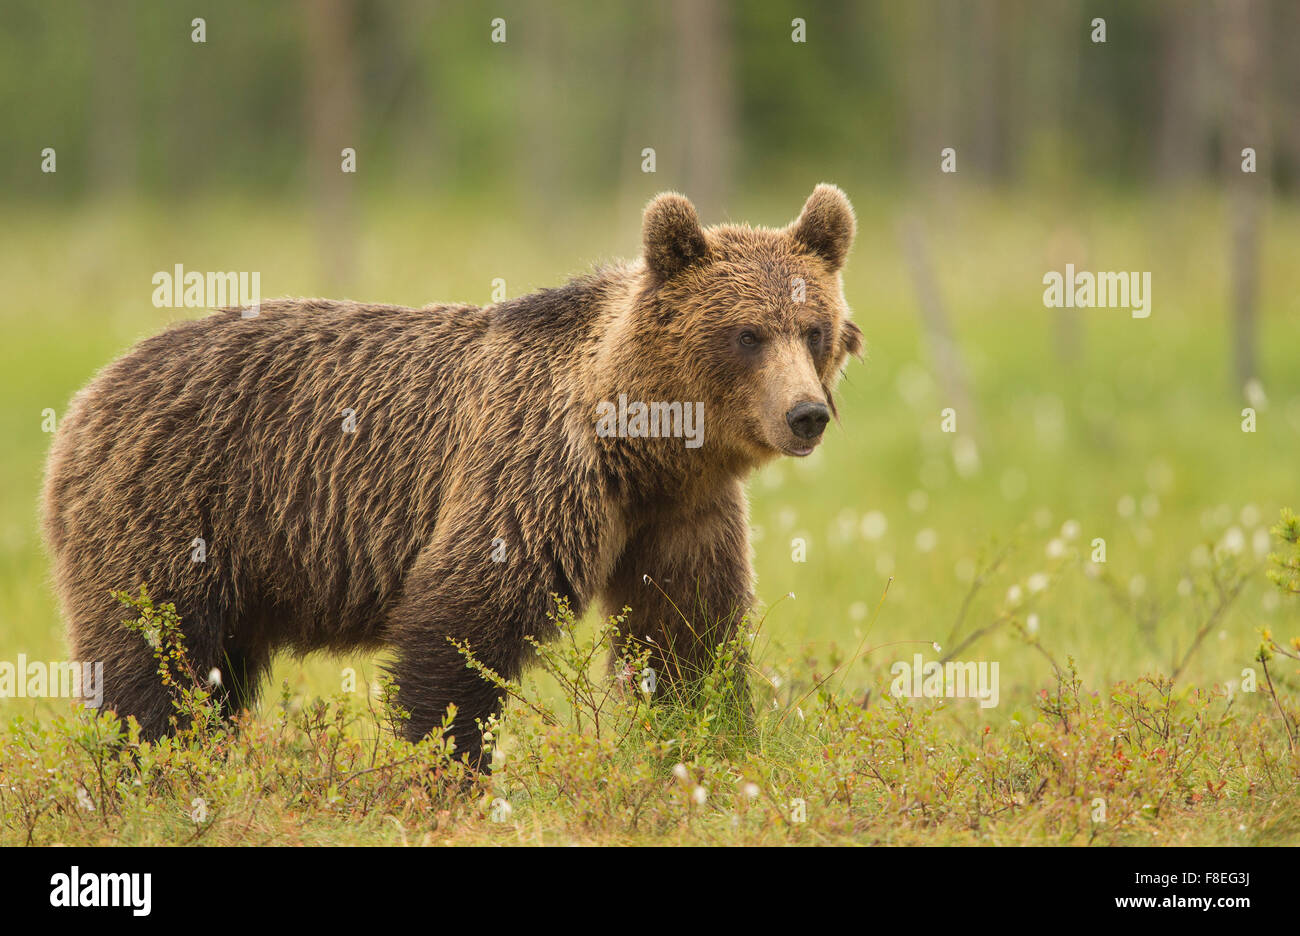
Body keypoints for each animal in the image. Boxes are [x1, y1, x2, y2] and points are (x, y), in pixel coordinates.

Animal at [41, 184, 862, 769]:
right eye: (747, 334)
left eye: (814, 329)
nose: (806, 415)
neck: (637, 445)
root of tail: (88, 396)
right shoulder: (533, 472)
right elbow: (461, 627)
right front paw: (451, 767)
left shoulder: (680, 512)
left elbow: (689, 633)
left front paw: (709, 738)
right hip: (174, 509)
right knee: (157, 657)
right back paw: (151, 767)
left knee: (218, 674)